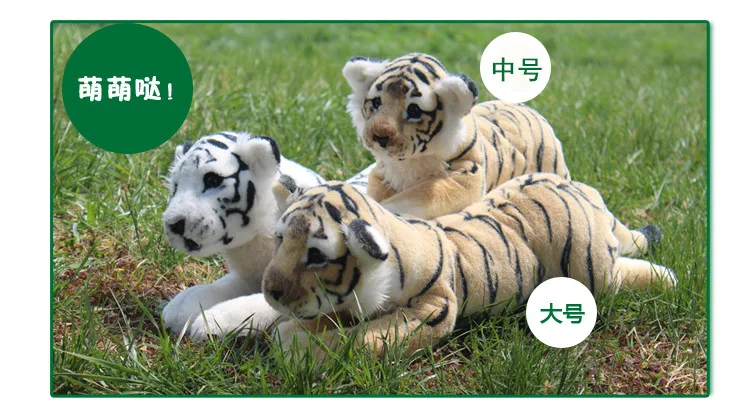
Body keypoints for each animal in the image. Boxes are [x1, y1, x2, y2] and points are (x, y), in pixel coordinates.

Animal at [160, 131, 372, 340]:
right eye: (175, 186)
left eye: (213, 180)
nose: (174, 224)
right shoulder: (248, 276)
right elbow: (219, 286)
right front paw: (179, 307)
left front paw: (211, 322)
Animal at [263, 175, 675, 362]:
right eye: (280, 239)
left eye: (316, 256)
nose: (270, 292)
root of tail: (579, 189)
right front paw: (291, 331)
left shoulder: (434, 309)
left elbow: (363, 340)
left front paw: (295, 347)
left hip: (592, 268)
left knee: (621, 270)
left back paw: (667, 279)